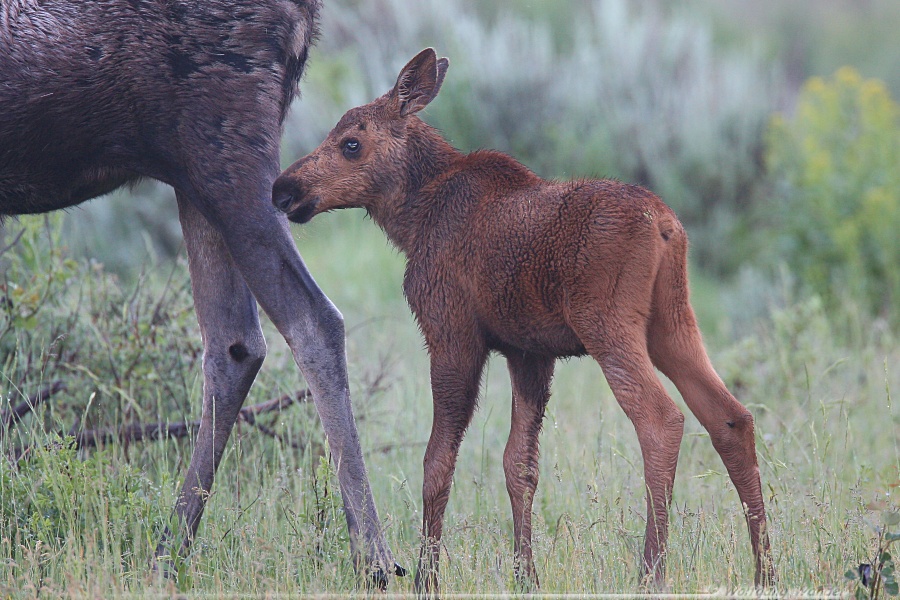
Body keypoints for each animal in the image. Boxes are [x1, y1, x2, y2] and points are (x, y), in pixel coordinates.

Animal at [0, 0, 400, 588]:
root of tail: (305, 12)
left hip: (223, 151)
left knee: (313, 320)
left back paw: (372, 558)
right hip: (193, 174)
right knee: (236, 342)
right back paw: (168, 552)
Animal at [272, 48, 772, 596]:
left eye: (351, 144)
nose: (283, 188)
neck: (411, 218)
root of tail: (666, 227)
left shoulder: (452, 335)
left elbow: (436, 463)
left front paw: (428, 576)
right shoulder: (529, 352)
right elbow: (520, 466)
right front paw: (525, 575)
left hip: (609, 325)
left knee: (662, 419)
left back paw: (651, 574)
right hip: (674, 325)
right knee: (732, 417)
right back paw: (765, 570)